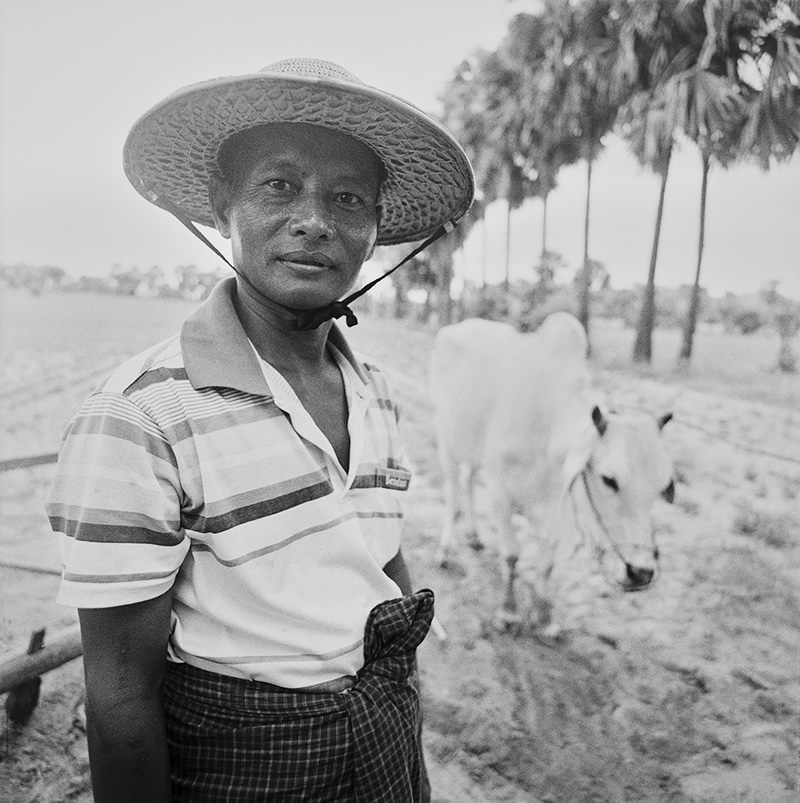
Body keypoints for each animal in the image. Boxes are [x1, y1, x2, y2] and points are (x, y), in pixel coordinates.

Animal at [428, 318, 672, 636]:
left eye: (659, 487)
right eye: (609, 479)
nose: (641, 573)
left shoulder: (557, 502)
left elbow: (547, 562)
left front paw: (544, 618)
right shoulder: (500, 492)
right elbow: (512, 554)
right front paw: (508, 612)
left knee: (469, 480)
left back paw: (474, 535)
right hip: (446, 441)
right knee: (453, 495)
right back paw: (445, 550)